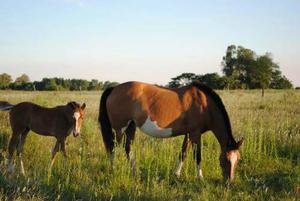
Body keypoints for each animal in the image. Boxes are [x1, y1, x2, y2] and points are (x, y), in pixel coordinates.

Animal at [99, 81, 245, 181]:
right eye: (226, 159)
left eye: (238, 159)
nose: (229, 182)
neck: (204, 104)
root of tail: (114, 89)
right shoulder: (195, 133)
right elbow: (197, 155)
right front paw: (200, 177)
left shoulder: (189, 134)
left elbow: (183, 153)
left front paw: (176, 174)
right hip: (120, 128)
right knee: (113, 147)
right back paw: (113, 170)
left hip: (131, 127)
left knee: (128, 148)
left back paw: (135, 174)